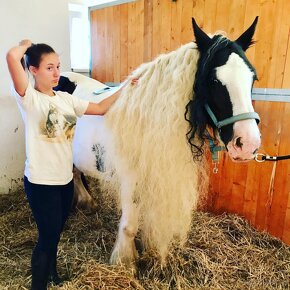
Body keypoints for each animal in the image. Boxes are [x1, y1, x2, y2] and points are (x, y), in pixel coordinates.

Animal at [56, 17, 260, 268]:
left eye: (252, 78)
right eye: (213, 80)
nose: (247, 144)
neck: (146, 119)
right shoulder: (130, 180)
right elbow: (129, 226)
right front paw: (124, 262)